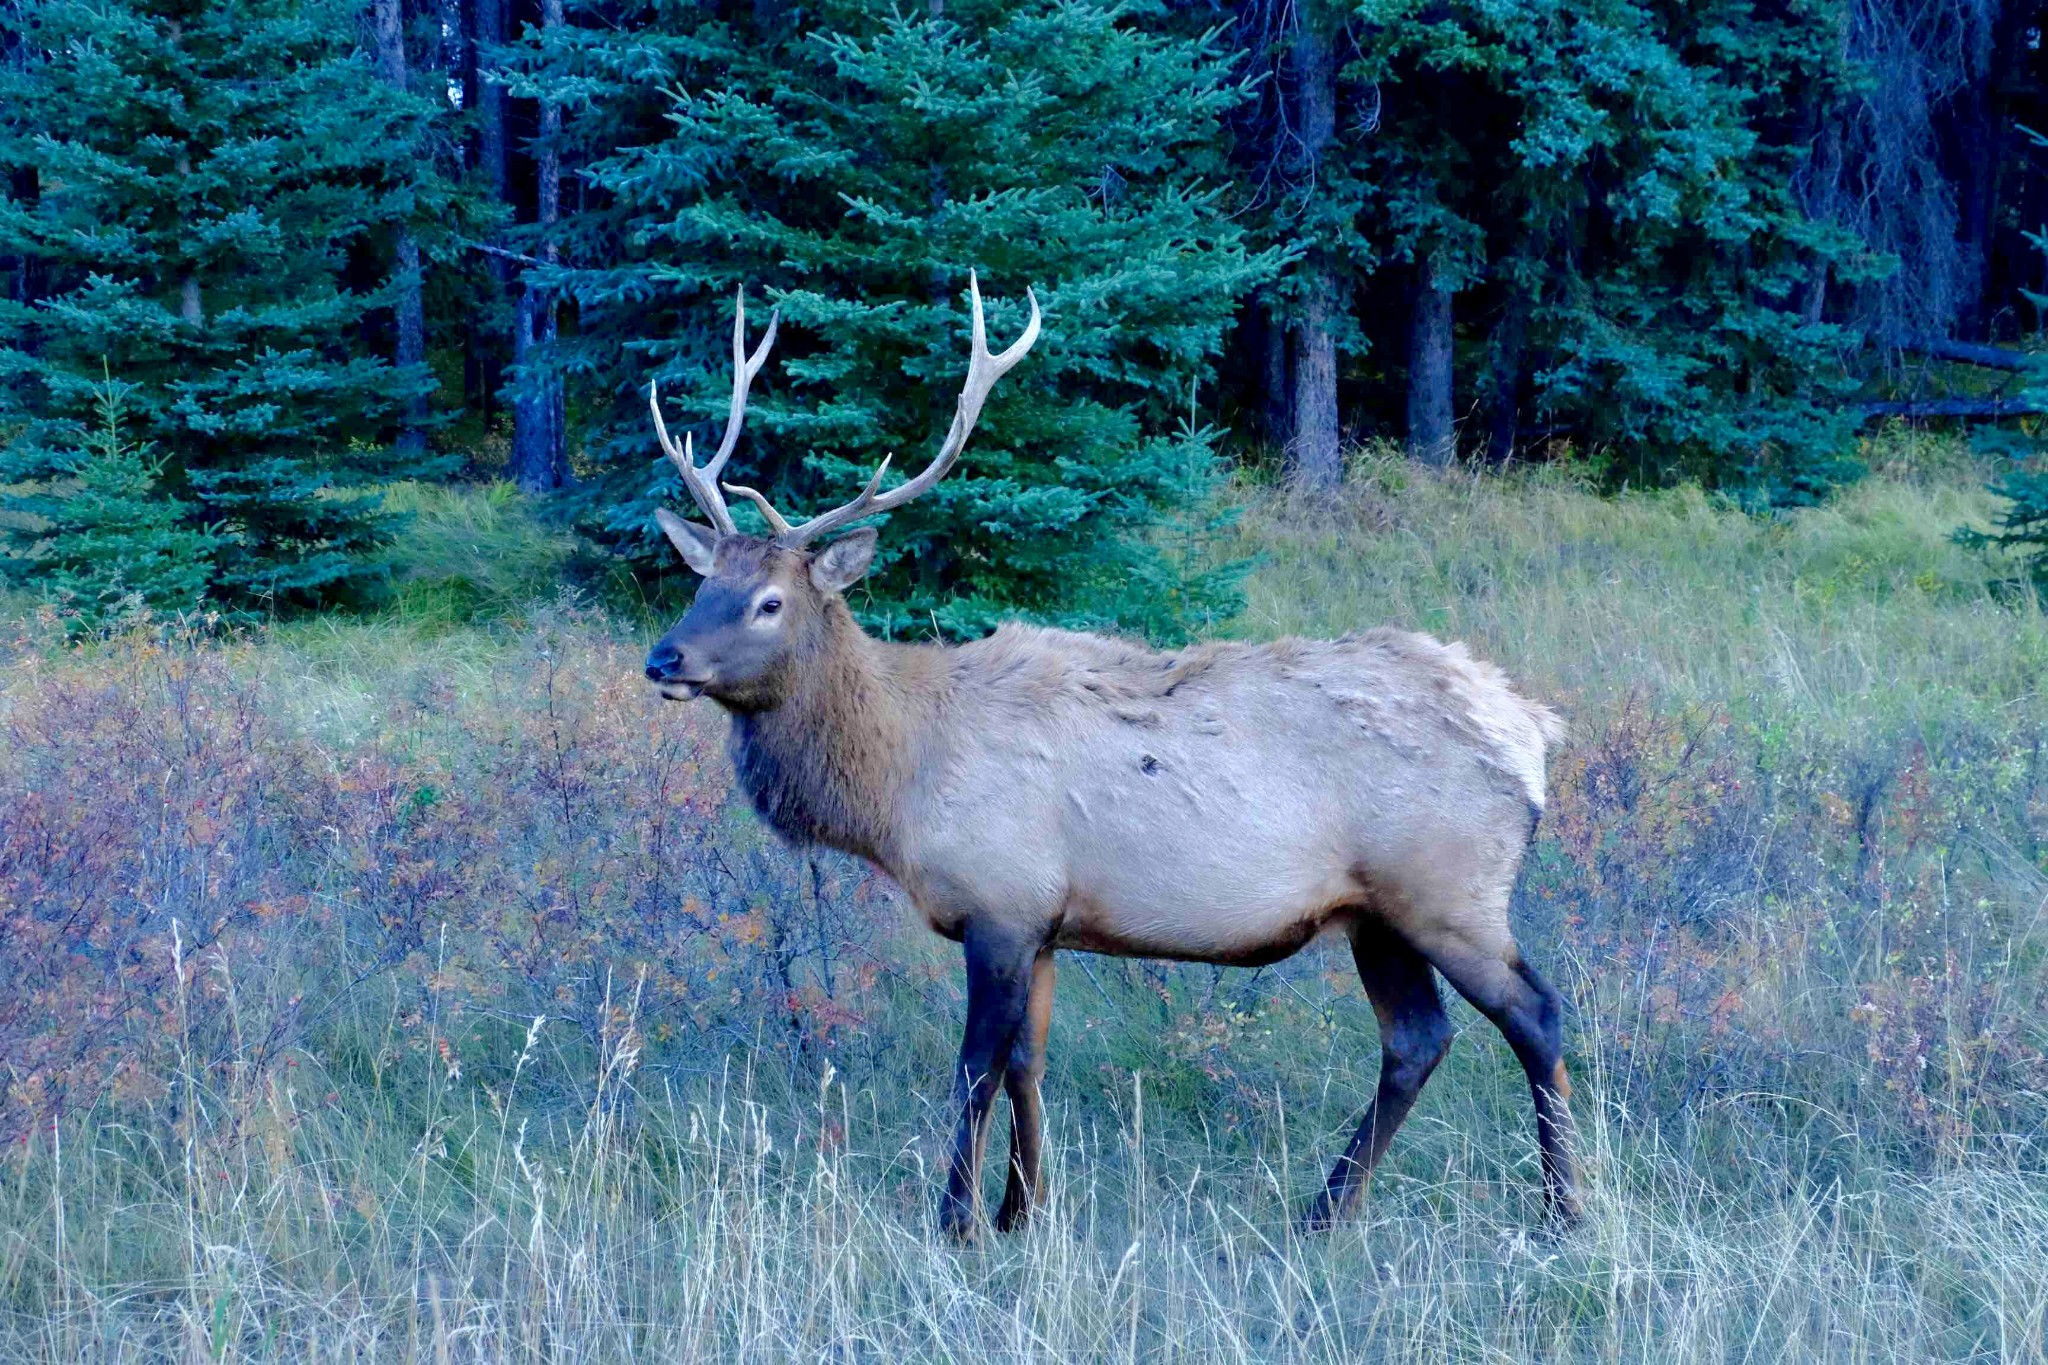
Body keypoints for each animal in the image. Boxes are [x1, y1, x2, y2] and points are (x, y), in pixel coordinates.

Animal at [638, 274, 1581, 1236]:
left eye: (770, 601)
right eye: (702, 582)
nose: (664, 659)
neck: (900, 787)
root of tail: (1533, 729)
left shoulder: (1002, 901)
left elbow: (974, 1069)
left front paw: (956, 1219)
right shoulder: (1045, 923)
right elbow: (1028, 1063)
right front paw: (1023, 1209)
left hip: (1447, 886)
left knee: (1535, 1013)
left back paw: (1564, 1207)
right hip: (1375, 912)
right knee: (1417, 1037)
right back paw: (1325, 1210)